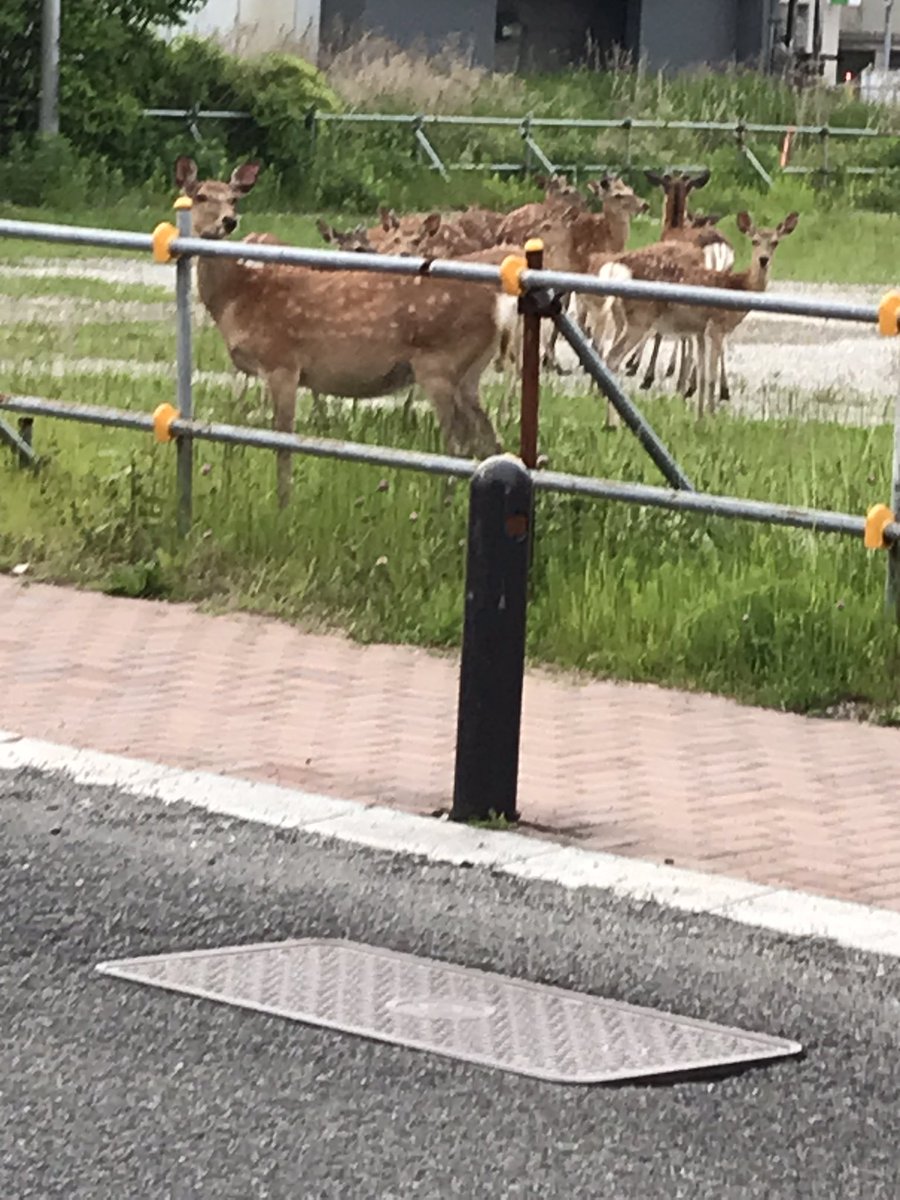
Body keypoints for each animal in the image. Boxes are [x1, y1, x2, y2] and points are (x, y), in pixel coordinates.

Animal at [173, 156, 514, 507]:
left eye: (234, 199)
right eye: (200, 195)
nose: (229, 221)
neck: (239, 296)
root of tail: (497, 304)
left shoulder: (281, 361)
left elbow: (283, 440)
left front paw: (283, 504)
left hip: (440, 362)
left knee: (457, 445)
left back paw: (444, 504)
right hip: (469, 371)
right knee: (490, 443)